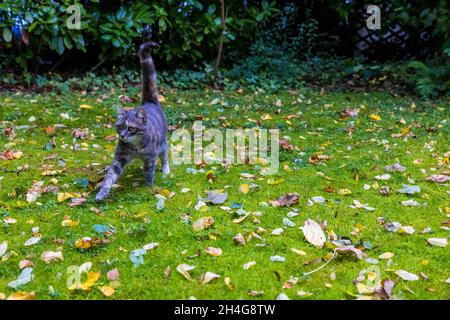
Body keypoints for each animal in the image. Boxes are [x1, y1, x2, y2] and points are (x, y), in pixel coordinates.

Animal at [96, 40, 170, 200]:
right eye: (120, 127)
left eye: (131, 128)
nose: (123, 136)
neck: (135, 147)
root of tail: (149, 103)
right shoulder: (120, 158)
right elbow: (110, 176)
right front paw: (103, 192)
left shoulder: (150, 157)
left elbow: (149, 172)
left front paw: (148, 186)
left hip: (162, 144)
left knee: (165, 154)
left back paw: (166, 169)